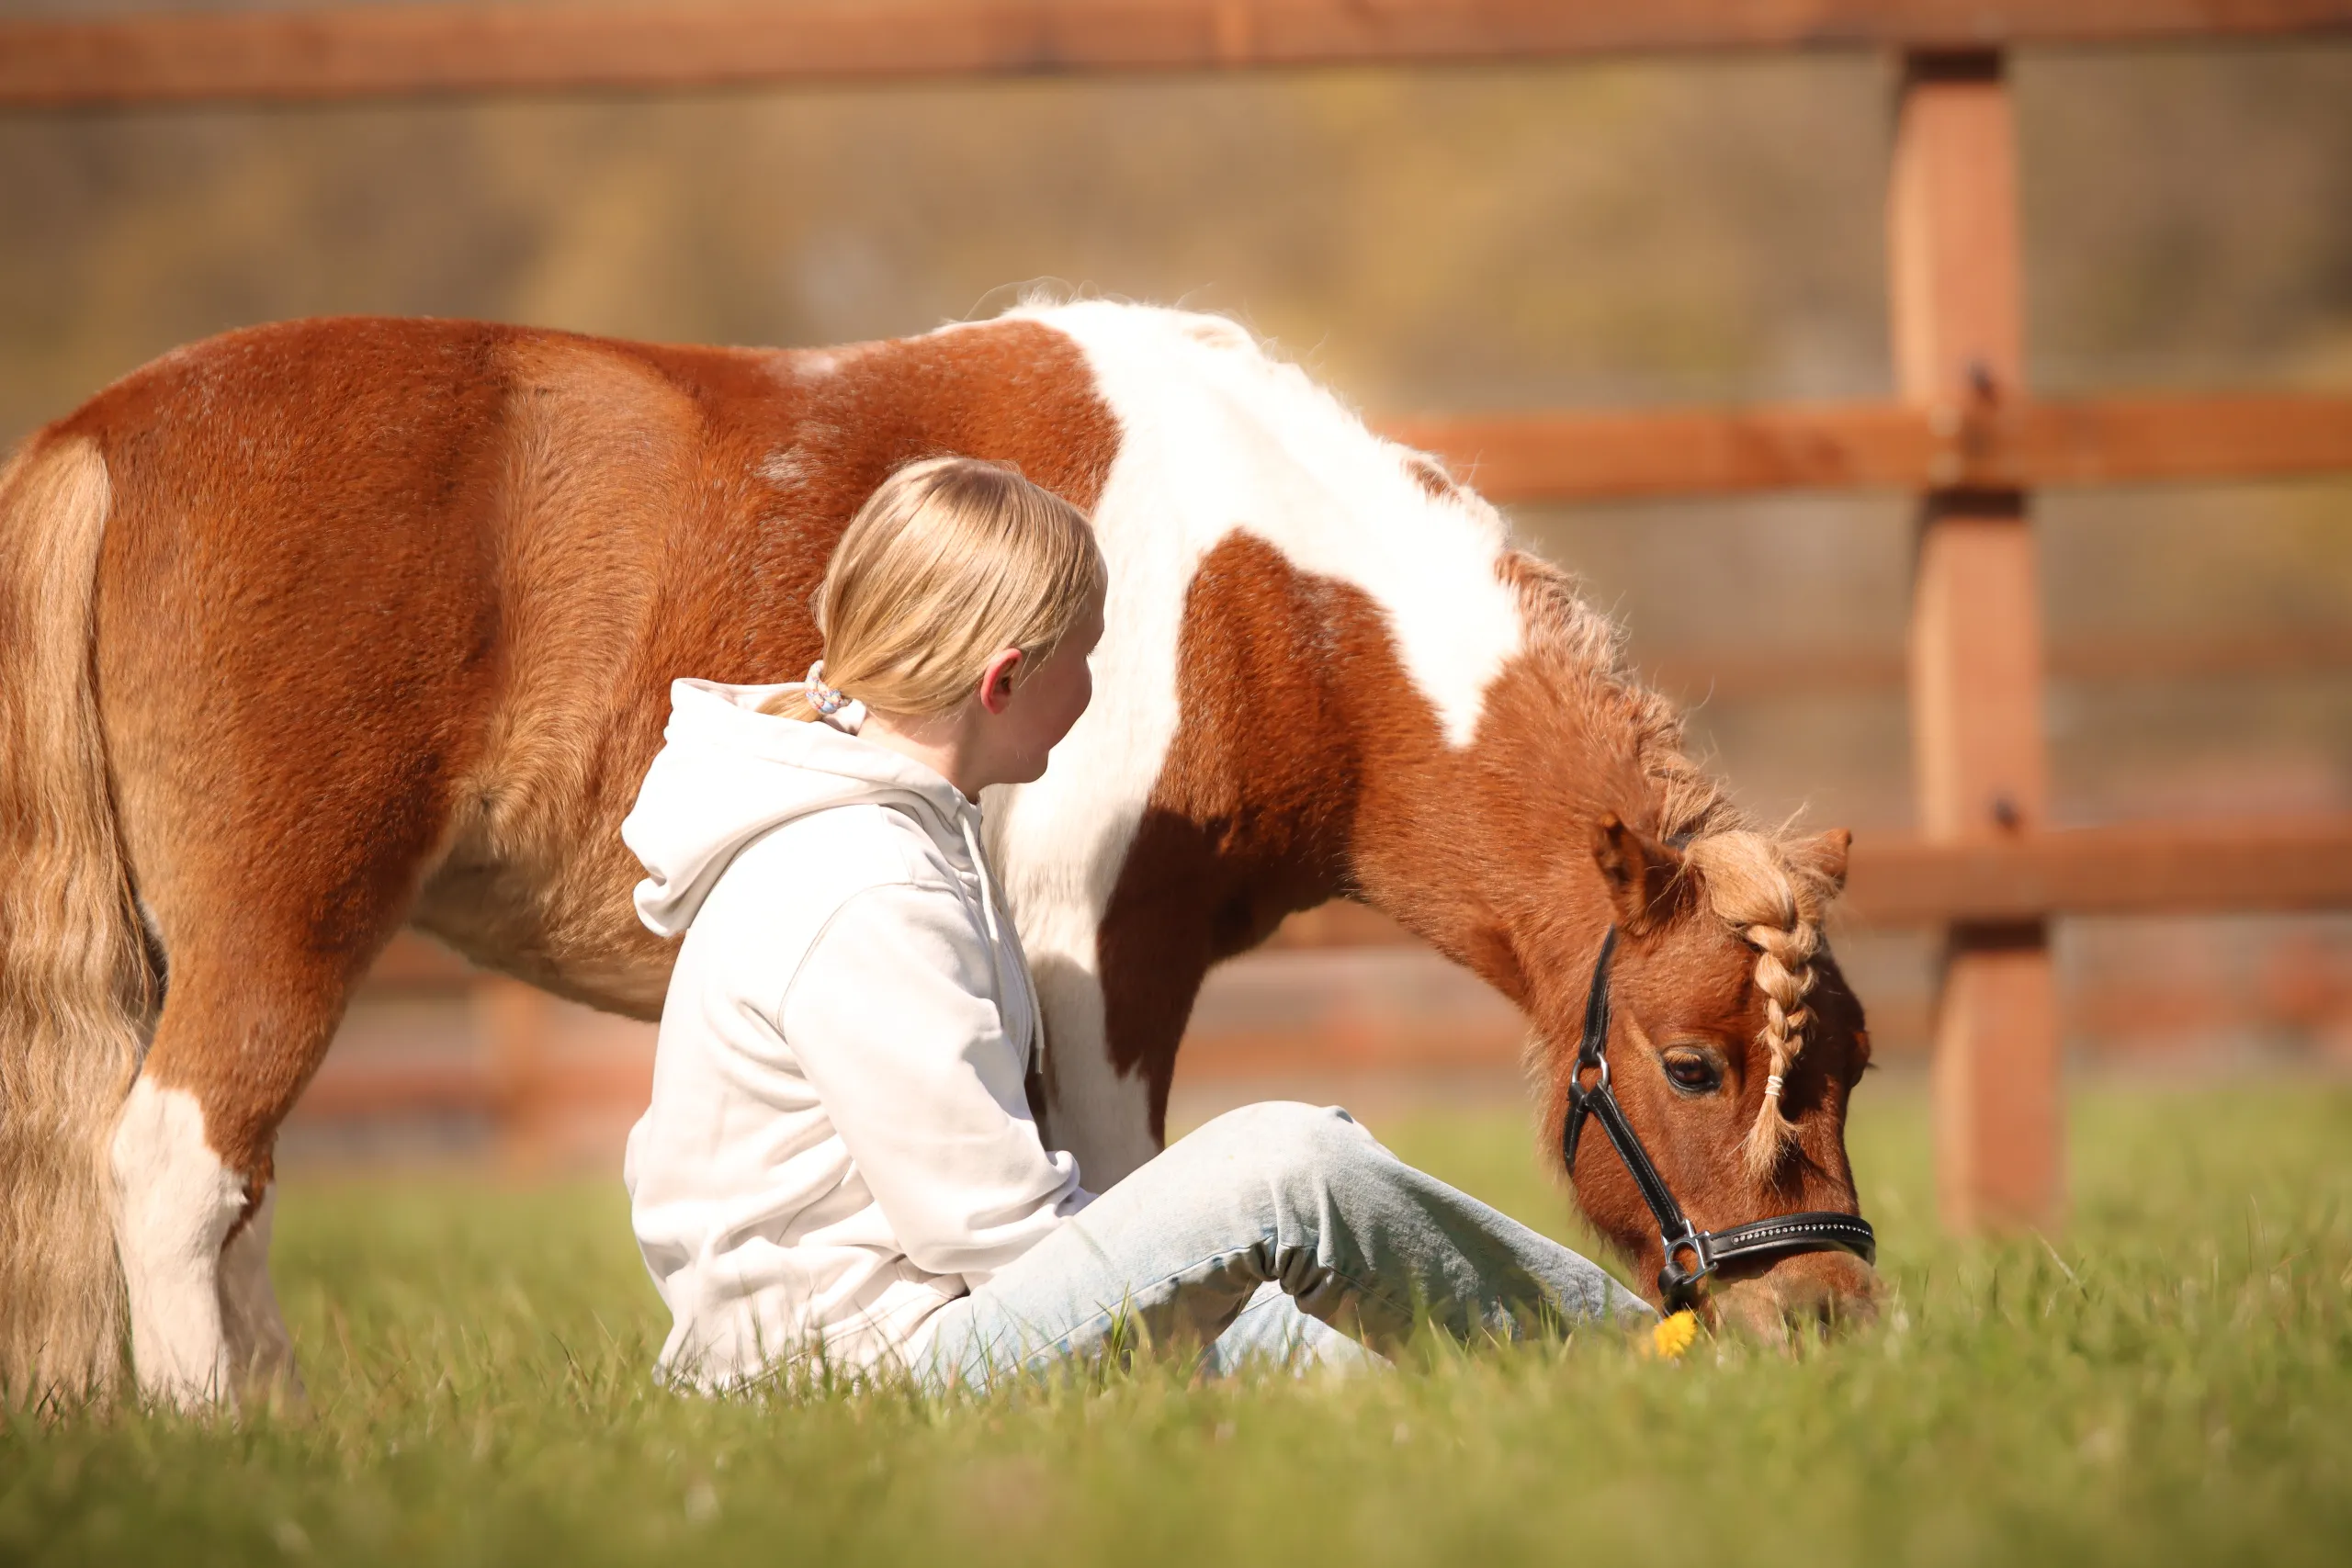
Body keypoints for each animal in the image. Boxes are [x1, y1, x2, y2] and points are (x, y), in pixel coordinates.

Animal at [0, 301, 1876, 1410]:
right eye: (1694, 1064)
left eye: (1845, 1065)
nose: (1830, 1322)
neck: (1274, 596)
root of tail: (106, 432)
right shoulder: (1104, 958)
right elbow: (1124, 1190)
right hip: (286, 919)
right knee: (174, 1168)